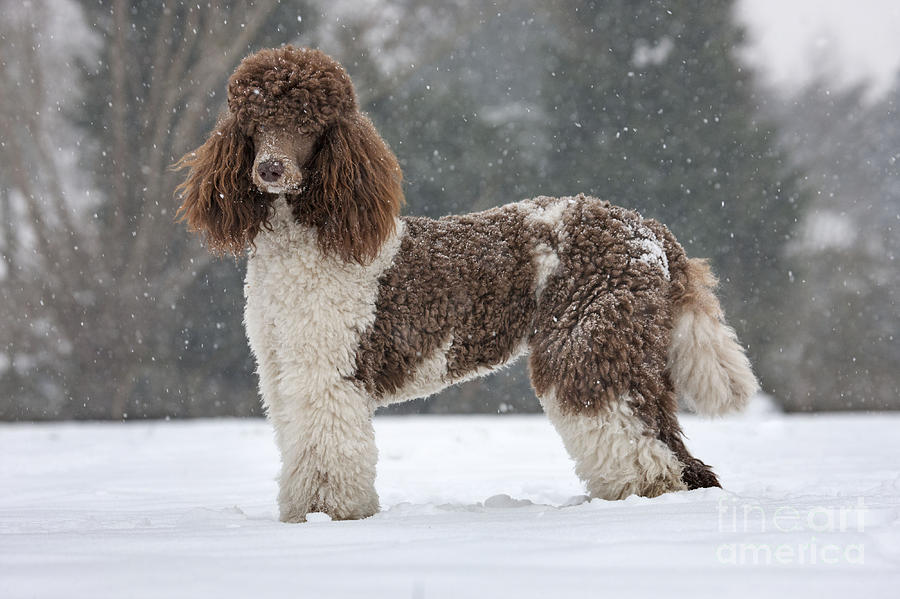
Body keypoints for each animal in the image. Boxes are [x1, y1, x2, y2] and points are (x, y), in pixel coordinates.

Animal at [176, 47, 760, 524]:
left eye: (307, 122)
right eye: (252, 122)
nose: (270, 169)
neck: (309, 234)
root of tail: (648, 229)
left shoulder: (328, 370)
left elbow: (326, 451)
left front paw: (329, 516)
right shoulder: (283, 370)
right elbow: (301, 445)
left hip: (588, 343)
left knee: (639, 438)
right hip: (626, 347)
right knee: (671, 443)